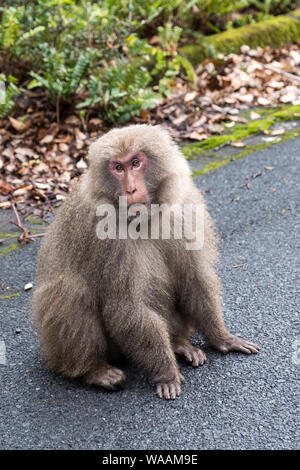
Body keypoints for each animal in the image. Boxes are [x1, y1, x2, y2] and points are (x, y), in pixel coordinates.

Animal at [32, 124, 258, 400]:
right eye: (118, 167)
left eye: (136, 163)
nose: (130, 189)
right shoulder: (105, 233)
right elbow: (125, 305)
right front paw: (167, 372)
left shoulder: (185, 206)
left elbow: (194, 277)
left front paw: (222, 338)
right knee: (71, 290)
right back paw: (93, 370)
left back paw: (178, 343)